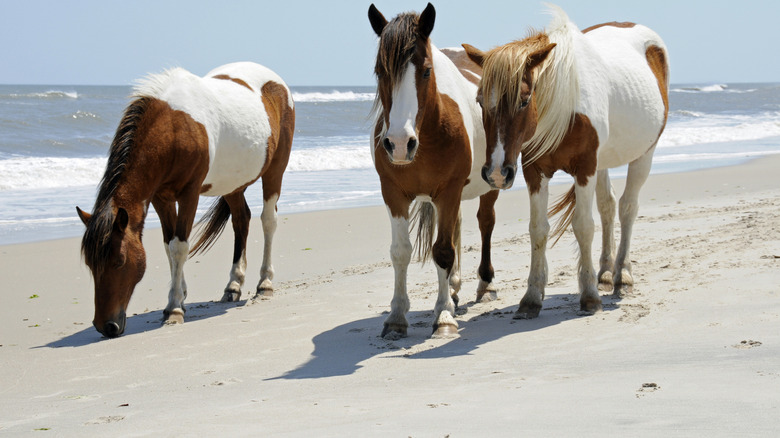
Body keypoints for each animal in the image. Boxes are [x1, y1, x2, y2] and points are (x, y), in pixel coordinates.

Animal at [77, 61, 296, 338]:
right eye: (90, 264)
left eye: (119, 262)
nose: (106, 326)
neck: (173, 128)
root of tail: (276, 82)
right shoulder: (161, 197)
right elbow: (169, 245)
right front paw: (179, 297)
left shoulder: (189, 194)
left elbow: (179, 246)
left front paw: (174, 309)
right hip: (232, 184)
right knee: (241, 220)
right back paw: (233, 285)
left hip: (275, 170)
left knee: (268, 220)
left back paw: (264, 284)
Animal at [370, 3, 502, 338]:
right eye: (380, 71)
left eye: (427, 70)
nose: (398, 144)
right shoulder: (393, 194)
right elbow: (400, 251)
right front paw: (396, 317)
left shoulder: (449, 191)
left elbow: (442, 251)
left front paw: (443, 317)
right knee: (456, 226)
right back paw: (453, 288)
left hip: (490, 184)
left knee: (485, 223)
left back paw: (485, 285)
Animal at [464, 4, 672, 318]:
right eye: (479, 101)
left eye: (524, 100)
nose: (497, 173)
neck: (563, 106)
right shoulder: (534, 171)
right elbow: (538, 229)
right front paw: (532, 297)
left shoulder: (585, 168)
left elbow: (583, 225)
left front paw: (589, 297)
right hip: (603, 162)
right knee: (608, 206)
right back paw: (606, 273)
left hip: (644, 154)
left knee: (627, 207)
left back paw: (622, 276)